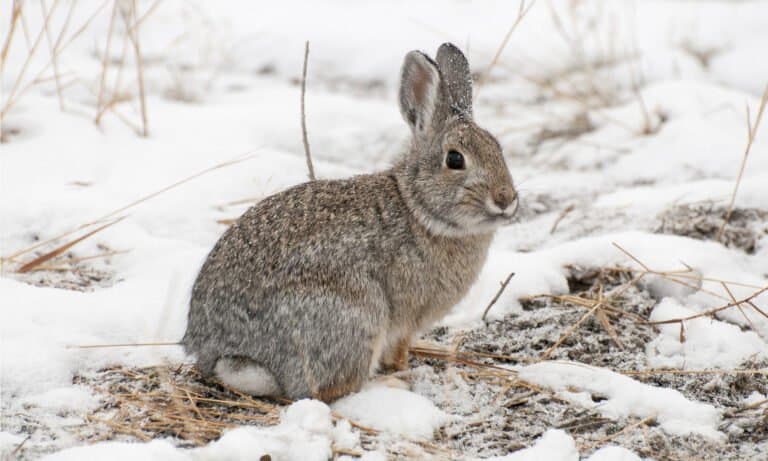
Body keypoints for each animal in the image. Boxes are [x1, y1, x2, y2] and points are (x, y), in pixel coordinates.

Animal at [182, 44, 516, 402]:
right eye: (455, 159)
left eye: (498, 149)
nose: (506, 199)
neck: (417, 207)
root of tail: (225, 353)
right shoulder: (404, 320)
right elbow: (397, 352)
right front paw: (404, 370)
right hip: (355, 316)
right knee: (330, 389)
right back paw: (390, 385)